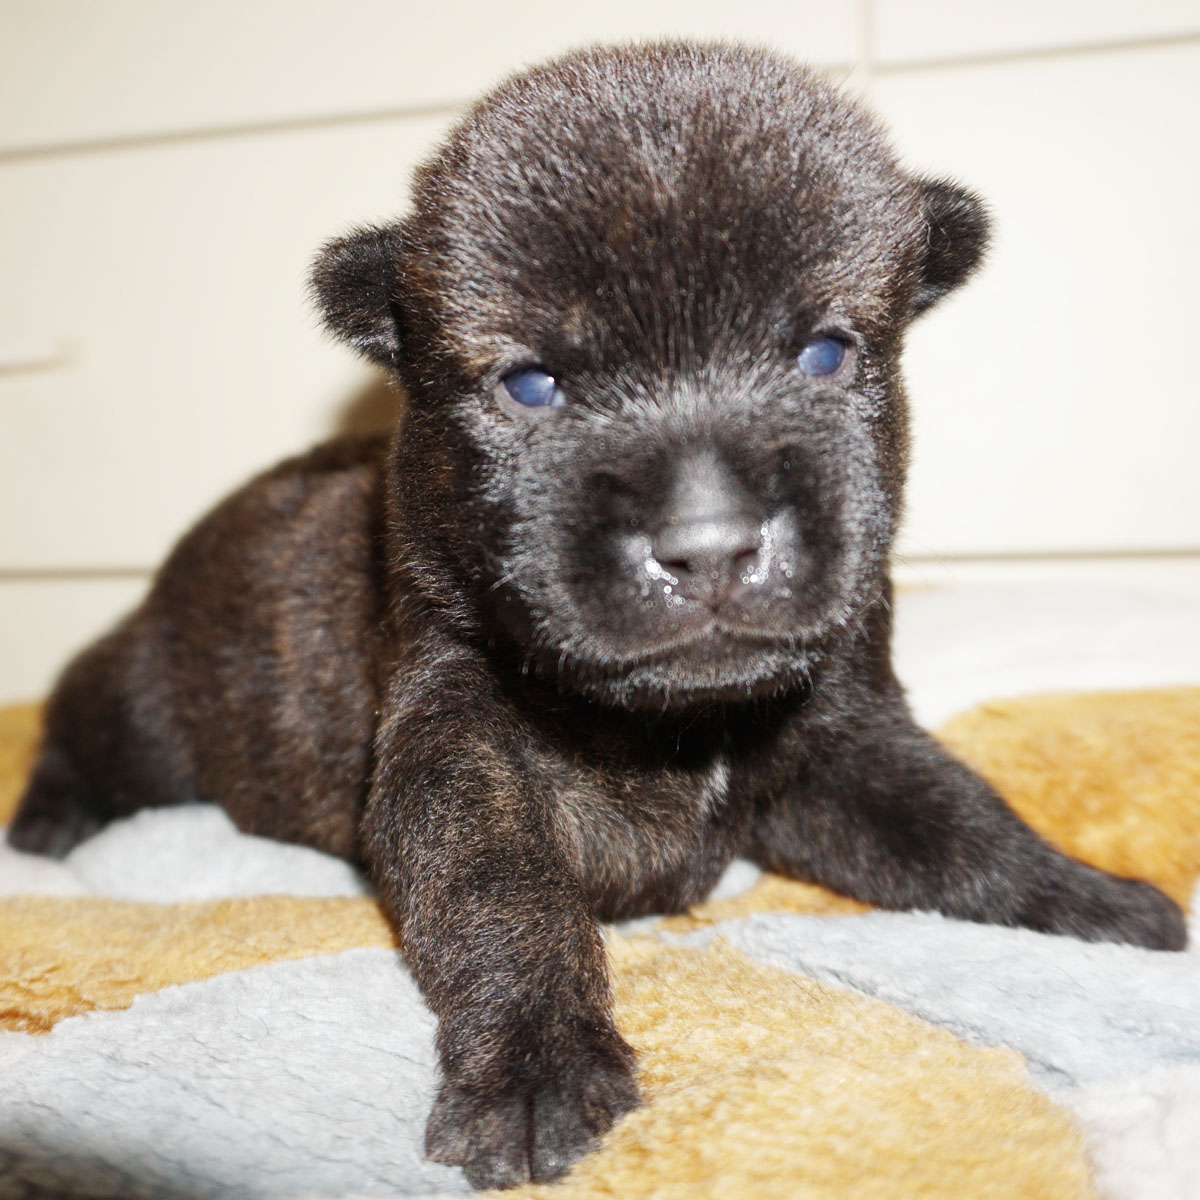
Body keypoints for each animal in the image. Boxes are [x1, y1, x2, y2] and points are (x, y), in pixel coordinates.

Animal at [8, 41, 1185, 1190]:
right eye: (532, 386)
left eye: (825, 354)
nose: (709, 542)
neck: (672, 721)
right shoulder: (458, 745)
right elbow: (505, 900)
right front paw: (536, 1070)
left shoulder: (843, 744)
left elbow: (961, 826)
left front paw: (1097, 903)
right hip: (148, 707)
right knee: (80, 731)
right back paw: (47, 829)